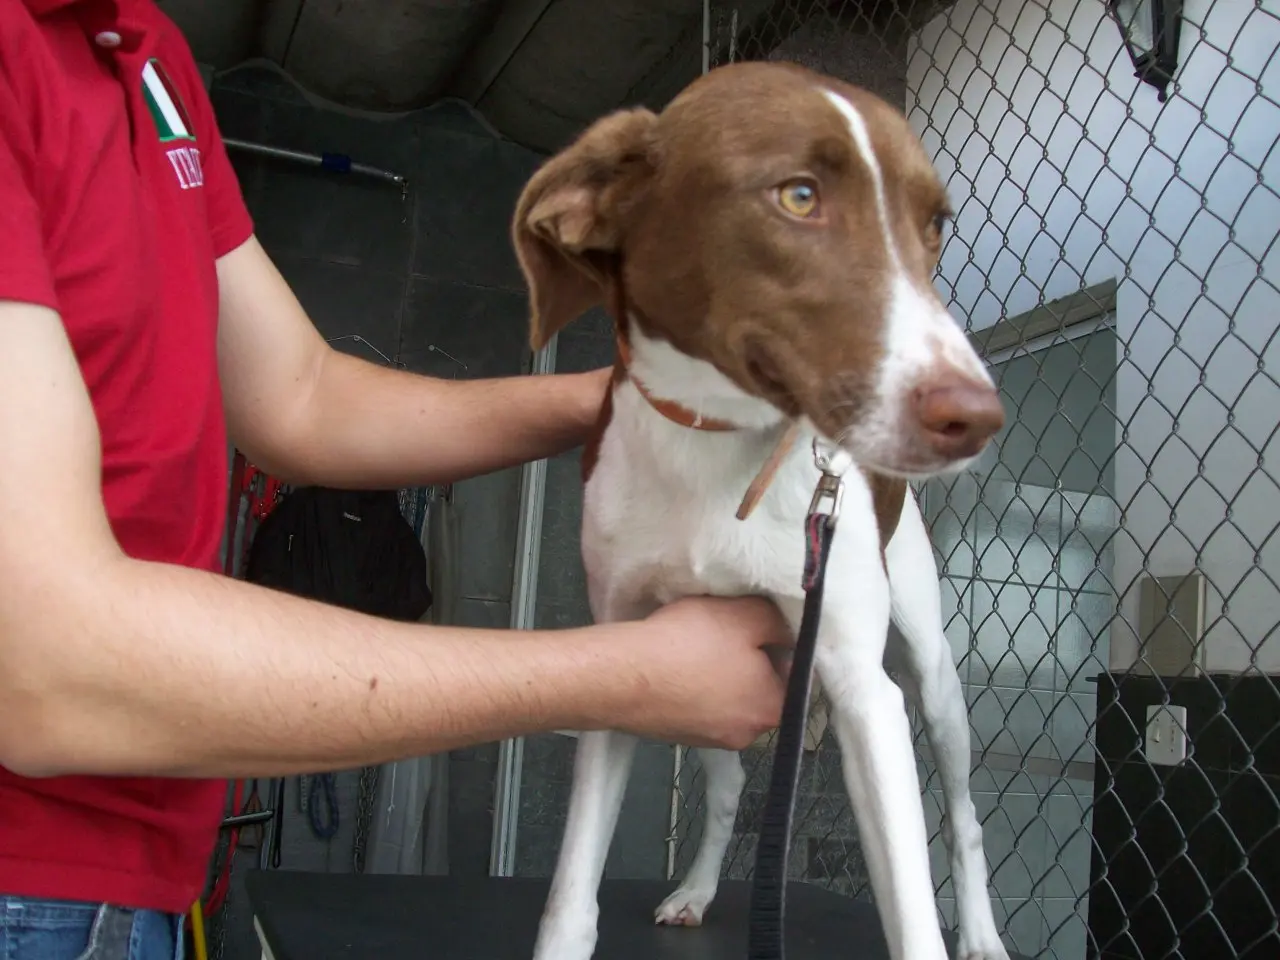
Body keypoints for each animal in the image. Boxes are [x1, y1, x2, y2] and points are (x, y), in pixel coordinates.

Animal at [509, 62, 1008, 960]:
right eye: (799, 196)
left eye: (934, 225)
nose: (979, 418)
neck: (715, 441)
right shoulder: (627, 647)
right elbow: (570, 894)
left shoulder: (863, 688)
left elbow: (913, 911)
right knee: (729, 790)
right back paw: (699, 890)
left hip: (932, 677)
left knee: (963, 815)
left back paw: (983, 935)